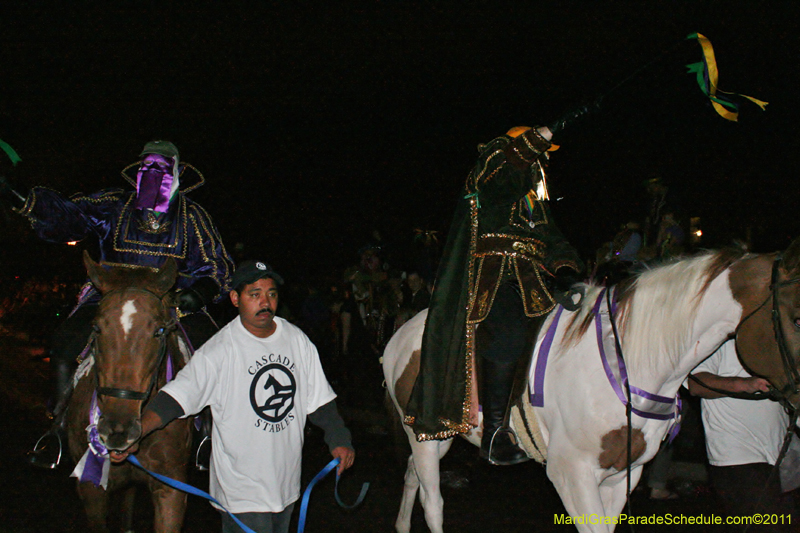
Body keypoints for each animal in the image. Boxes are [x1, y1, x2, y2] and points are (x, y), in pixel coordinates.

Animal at [382, 241, 800, 532]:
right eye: (796, 317)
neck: (633, 361)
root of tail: (400, 336)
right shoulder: (572, 474)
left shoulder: (621, 476)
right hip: (424, 434)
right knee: (432, 501)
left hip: (440, 435)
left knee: (411, 475)